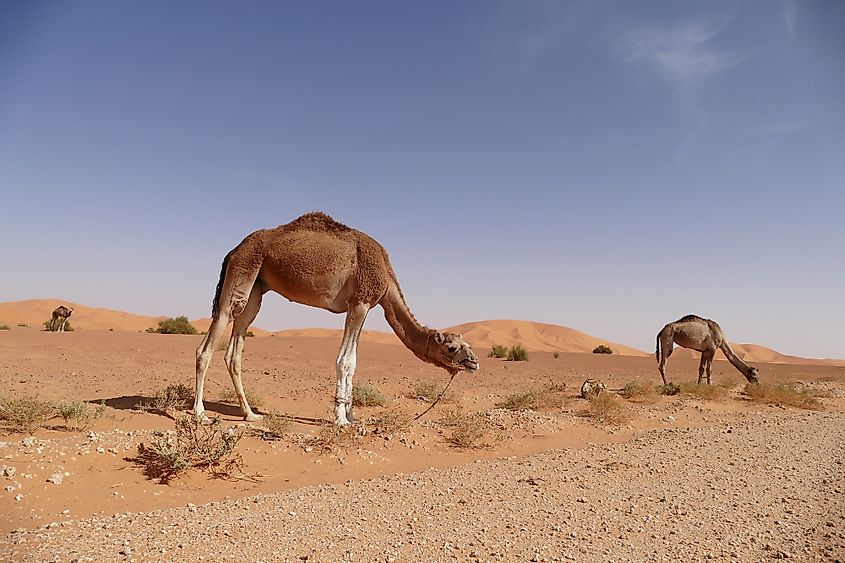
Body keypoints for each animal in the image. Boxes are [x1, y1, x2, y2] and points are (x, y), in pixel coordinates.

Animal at [194, 212, 479, 425]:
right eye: (452, 347)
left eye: (467, 345)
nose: (474, 362)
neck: (386, 278)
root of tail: (233, 250)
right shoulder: (359, 303)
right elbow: (346, 361)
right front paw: (341, 418)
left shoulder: (363, 306)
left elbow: (354, 362)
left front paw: (351, 415)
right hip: (243, 271)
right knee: (208, 343)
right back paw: (200, 413)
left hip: (255, 288)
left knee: (235, 347)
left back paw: (250, 414)